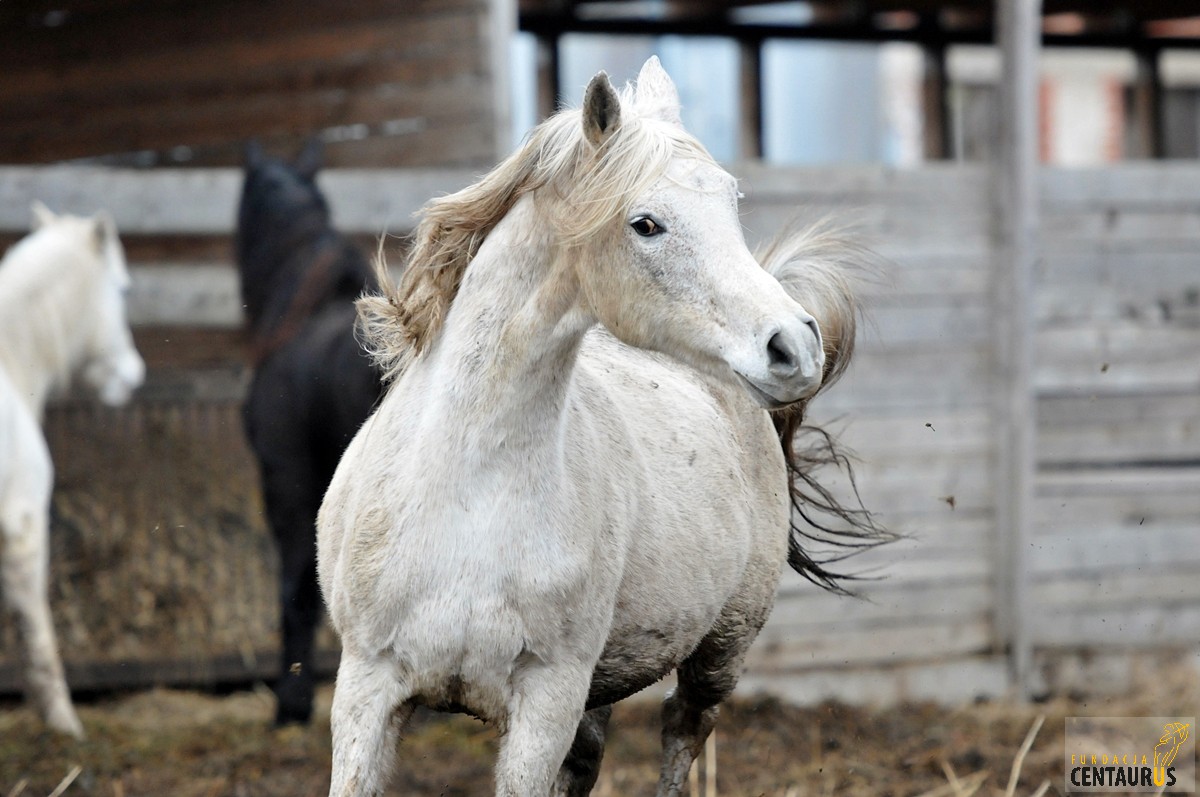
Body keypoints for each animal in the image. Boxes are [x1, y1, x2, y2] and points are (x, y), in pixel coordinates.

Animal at [319, 57, 878, 797]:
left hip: (718, 652)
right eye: (645, 223)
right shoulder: (368, 688)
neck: (467, 488)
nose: (794, 347)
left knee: (682, 731)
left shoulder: (546, 703)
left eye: (730, 203)